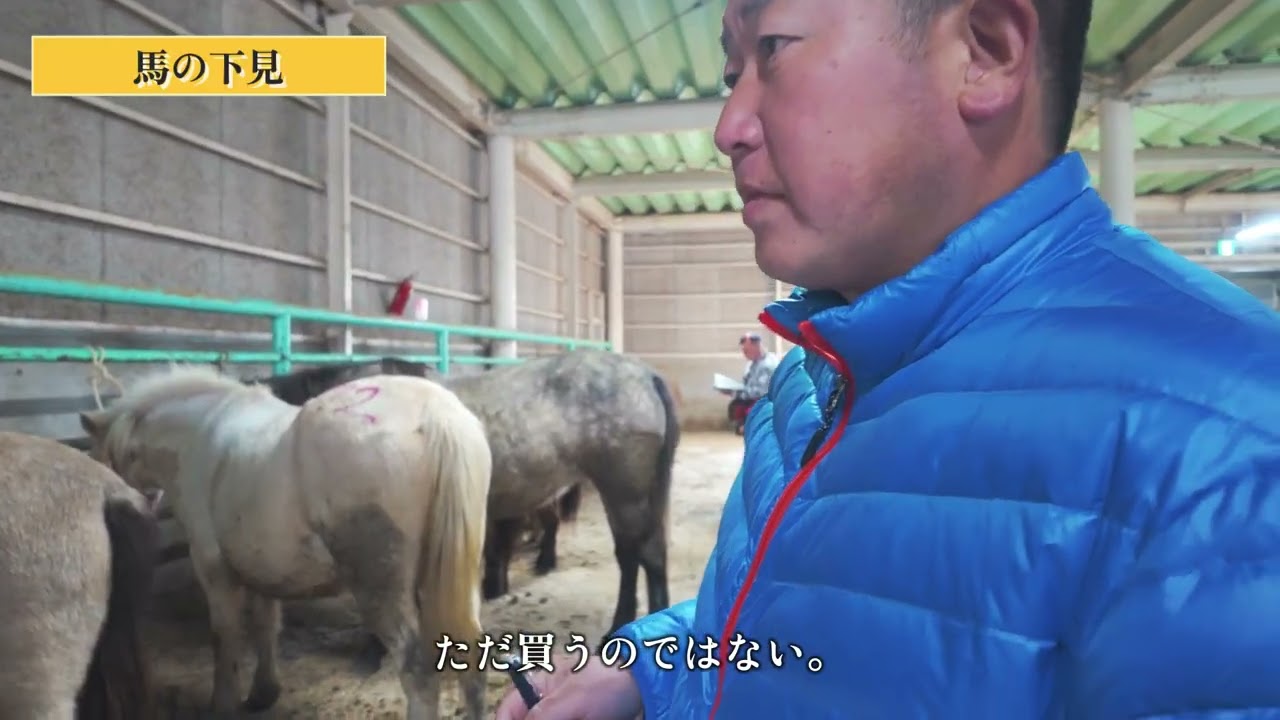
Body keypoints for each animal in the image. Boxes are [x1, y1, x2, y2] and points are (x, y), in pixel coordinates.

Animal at [78, 365, 493, 720]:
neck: (197, 436)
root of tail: (435, 414)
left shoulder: (213, 568)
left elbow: (224, 637)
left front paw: (223, 705)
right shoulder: (263, 563)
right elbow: (266, 624)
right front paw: (263, 693)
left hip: (381, 586)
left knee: (417, 671)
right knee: (471, 658)